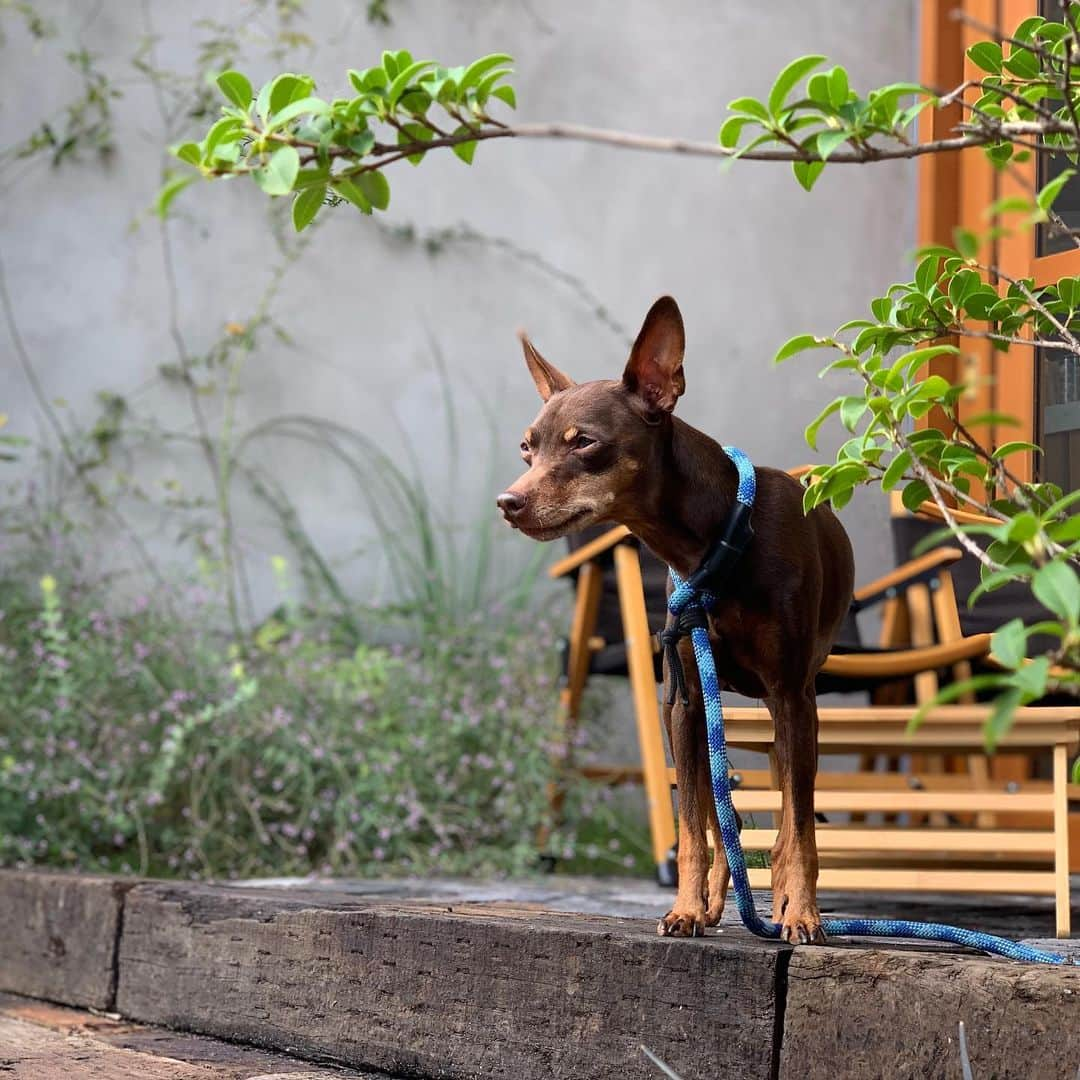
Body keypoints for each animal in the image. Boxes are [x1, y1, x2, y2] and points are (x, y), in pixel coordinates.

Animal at [498, 298, 859, 946]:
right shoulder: (683, 704)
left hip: (792, 710)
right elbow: (694, 824)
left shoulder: (793, 697)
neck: (720, 543)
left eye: (584, 442)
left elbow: (799, 830)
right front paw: (688, 908)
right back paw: (717, 900)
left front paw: (803, 914)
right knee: (723, 814)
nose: (508, 502)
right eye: (526, 448)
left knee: (786, 814)